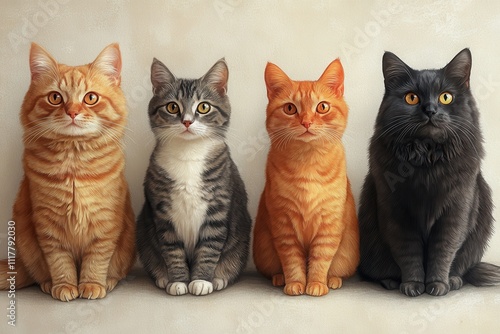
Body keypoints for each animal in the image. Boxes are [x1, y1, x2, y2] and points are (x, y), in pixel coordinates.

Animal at [0, 43, 136, 302]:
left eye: (90, 98)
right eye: (55, 98)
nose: (72, 112)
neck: (74, 165)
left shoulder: (105, 224)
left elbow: (96, 261)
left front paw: (91, 285)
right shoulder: (48, 227)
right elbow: (60, 263)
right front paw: (65, 286)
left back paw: (108, 282)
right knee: (38, 274)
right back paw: (47, 285)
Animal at [137, 58, 252, 296]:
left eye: (203, 106)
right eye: (172, 106)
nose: (187, 121)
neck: (188, 154)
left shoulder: (218, 208)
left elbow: (209, 247)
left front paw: (201, 280)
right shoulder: (162, 211)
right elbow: (172, 250)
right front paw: (178, 281)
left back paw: (219, 278)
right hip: (142, 233)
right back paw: (162, 277)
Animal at [254, 58, 360, 296]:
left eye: (322, 107)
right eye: (290, 108)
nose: (306, 122)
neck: (307, 164)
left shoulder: (329, 224)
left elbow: (320, 258)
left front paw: (317, 283)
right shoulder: (283, 224)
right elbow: (292, 261)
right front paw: (295, 283)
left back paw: (332, 280)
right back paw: (279, 278)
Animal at [360, 48, 500, 296]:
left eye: (446, 97)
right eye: (411, 98)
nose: (431, 110)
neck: (427, 160)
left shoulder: (456, 211)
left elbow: (443, 250)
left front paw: (438, 285)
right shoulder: (397, 212)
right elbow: (409, 253)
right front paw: (413, 286)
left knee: (461, 267)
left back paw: (454, 280)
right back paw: (391, 282)